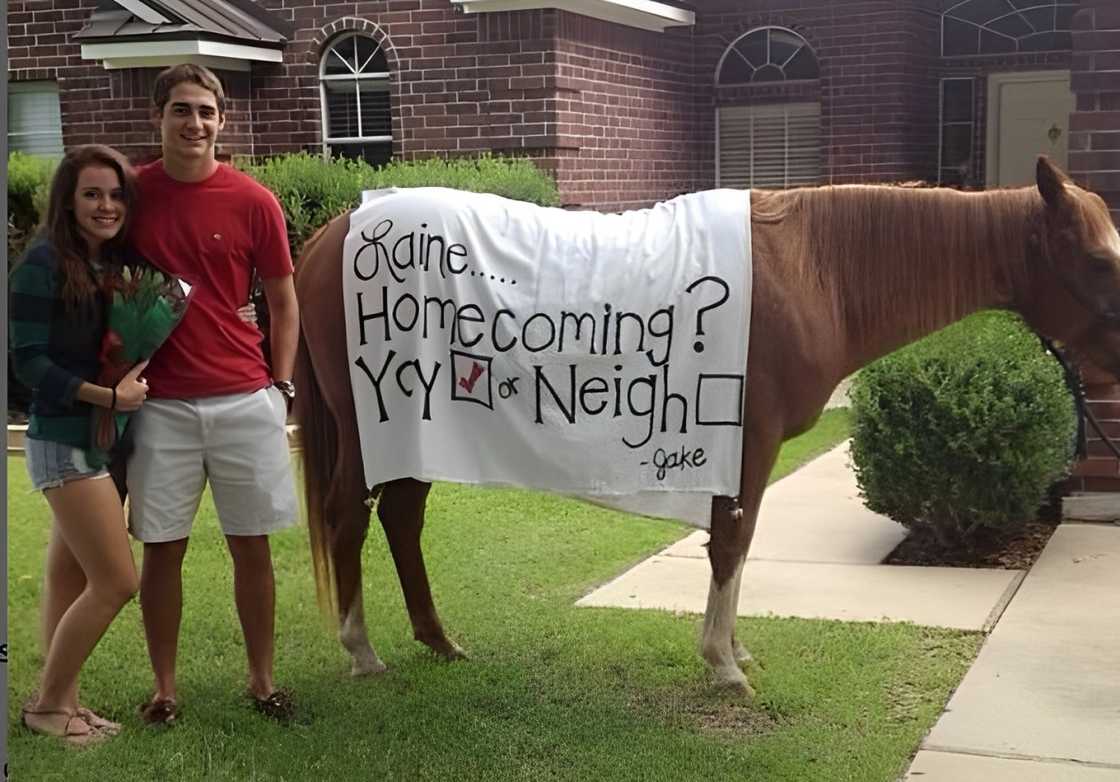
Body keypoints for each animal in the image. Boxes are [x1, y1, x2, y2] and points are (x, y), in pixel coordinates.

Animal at [293, 155, 1120, 690]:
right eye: (1098, 260)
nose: (1117, 365)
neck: (814, 272)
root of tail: (337, 229)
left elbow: (738, 544)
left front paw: (736, 650)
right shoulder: (747, 444)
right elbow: (733, 542)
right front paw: (724, 664)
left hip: (418, 433)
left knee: (401, 517)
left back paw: (439, 642)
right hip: (371, 429)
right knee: (348, 517)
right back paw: (361, 651)